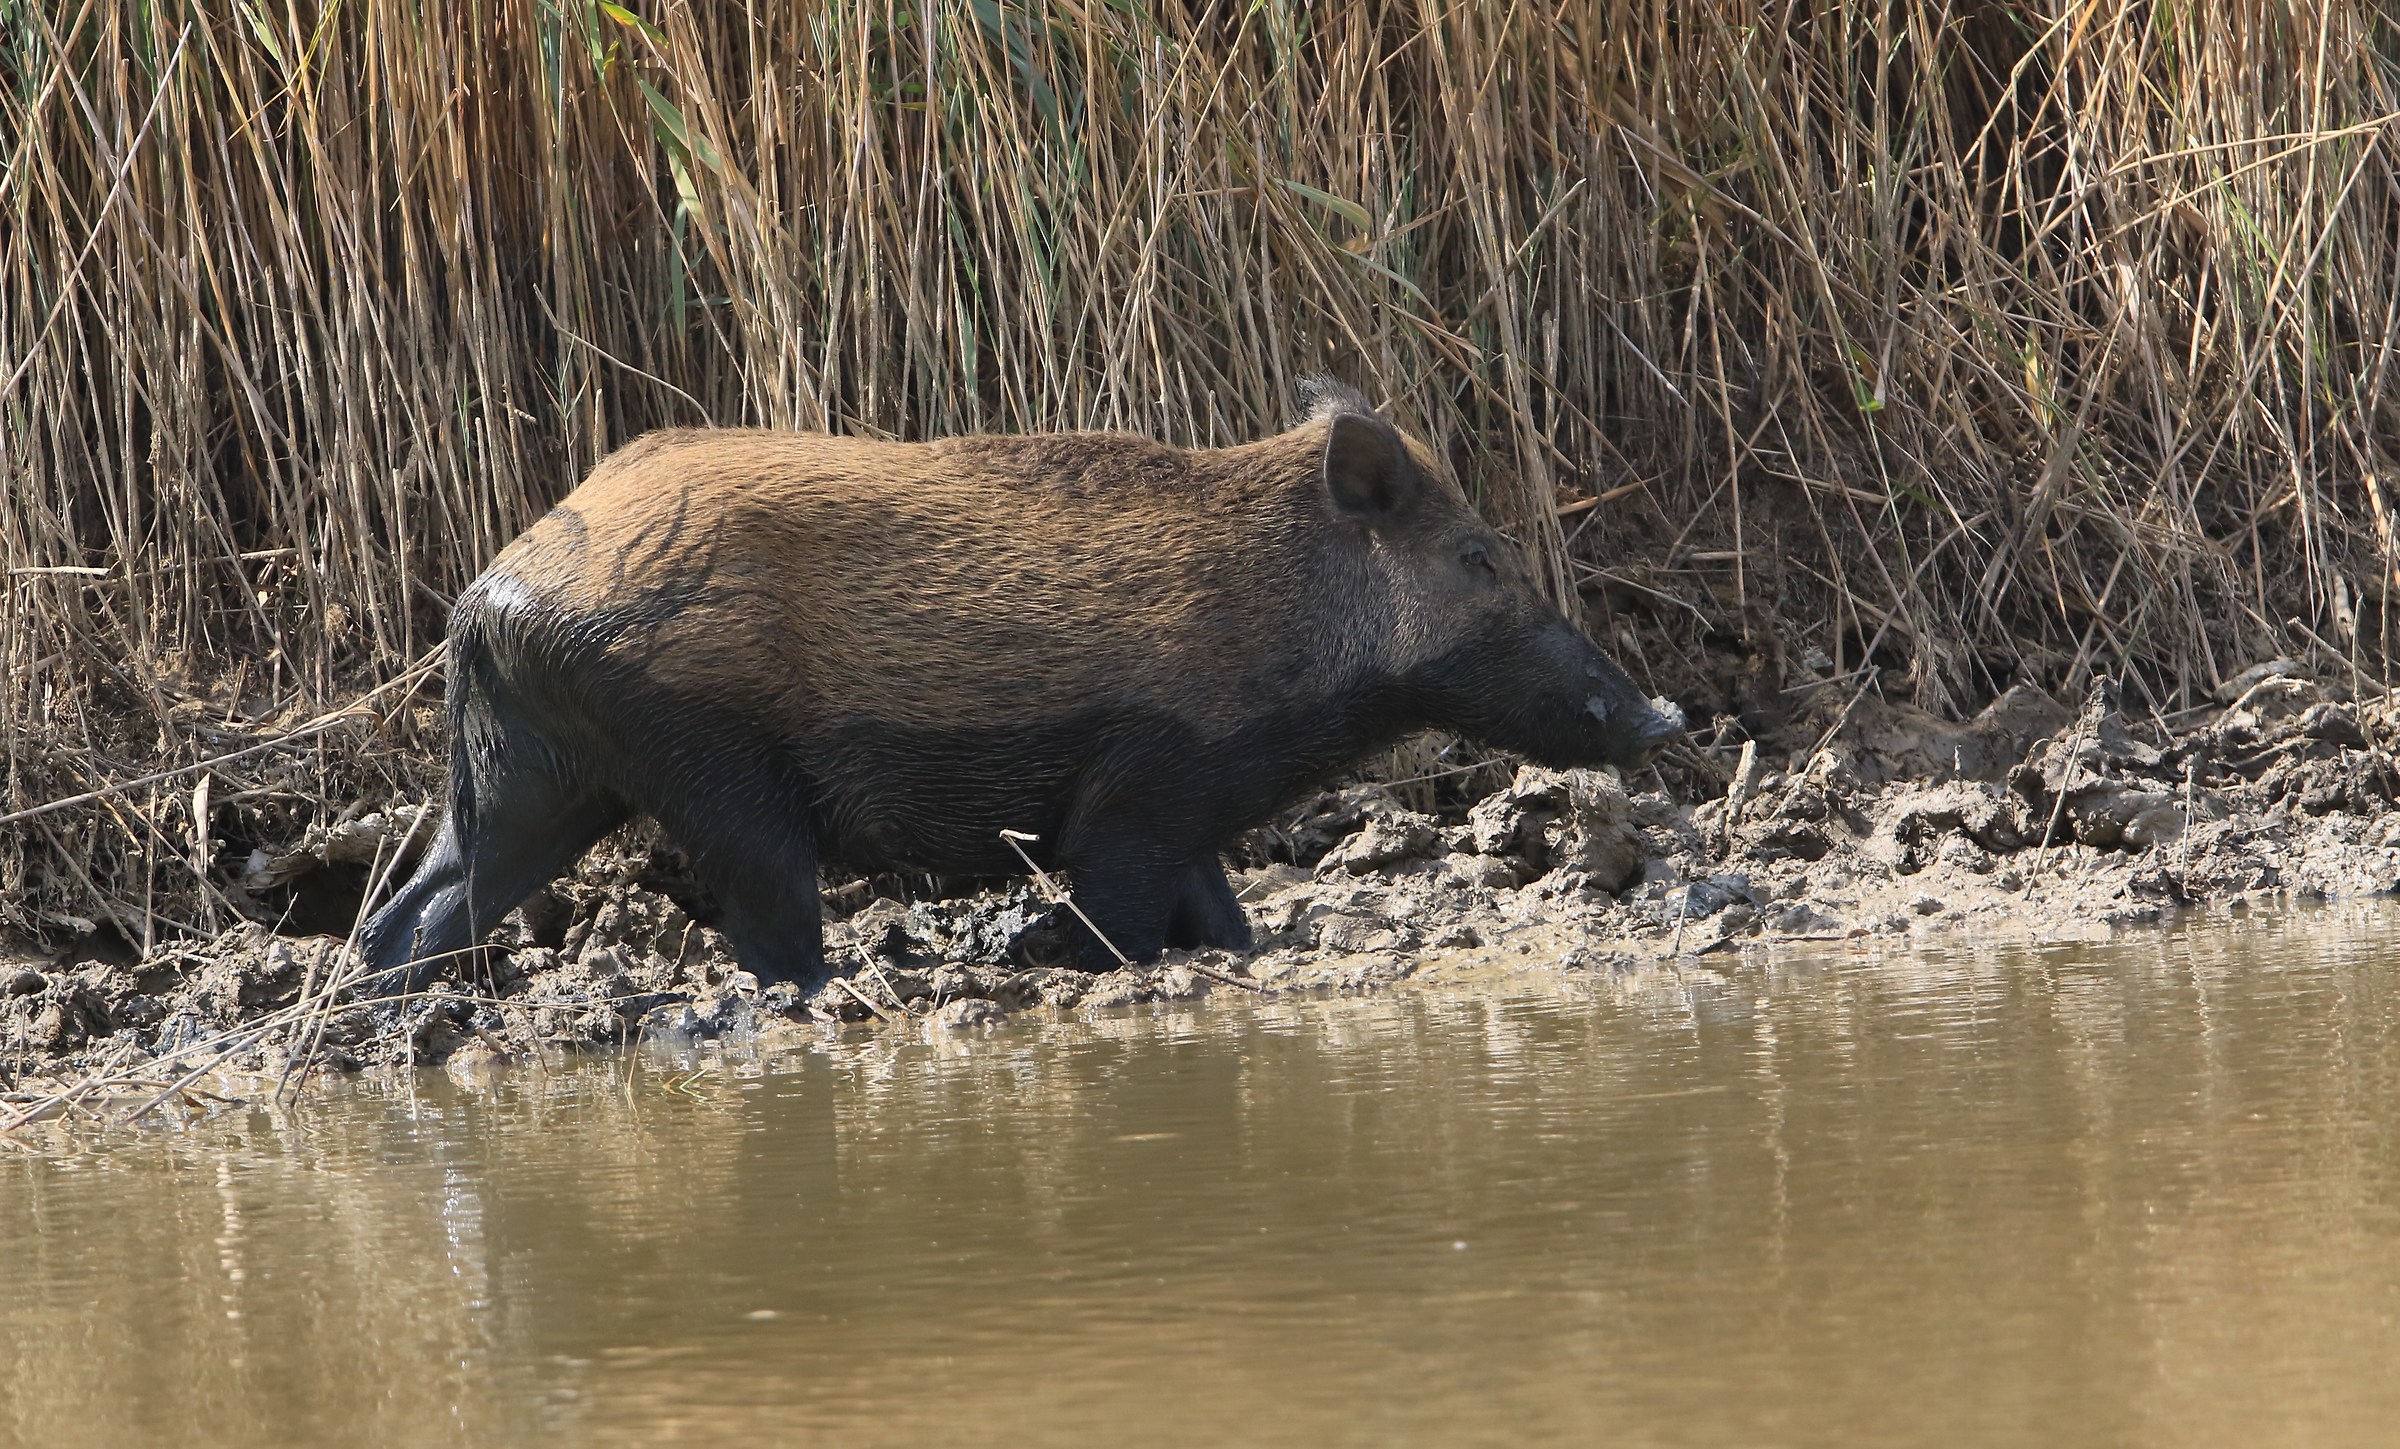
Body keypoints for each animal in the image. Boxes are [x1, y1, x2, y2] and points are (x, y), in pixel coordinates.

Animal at [358, 381, 1681, 992]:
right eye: (1479, 559)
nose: (1660, 714)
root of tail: (493, 590)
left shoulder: (1191, 810)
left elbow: (1219, 918)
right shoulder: (1146, 786)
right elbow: (1118, 913)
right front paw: (1043, 956)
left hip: (532, 767)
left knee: (421, 903)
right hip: (696, 751)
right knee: (765, 911)